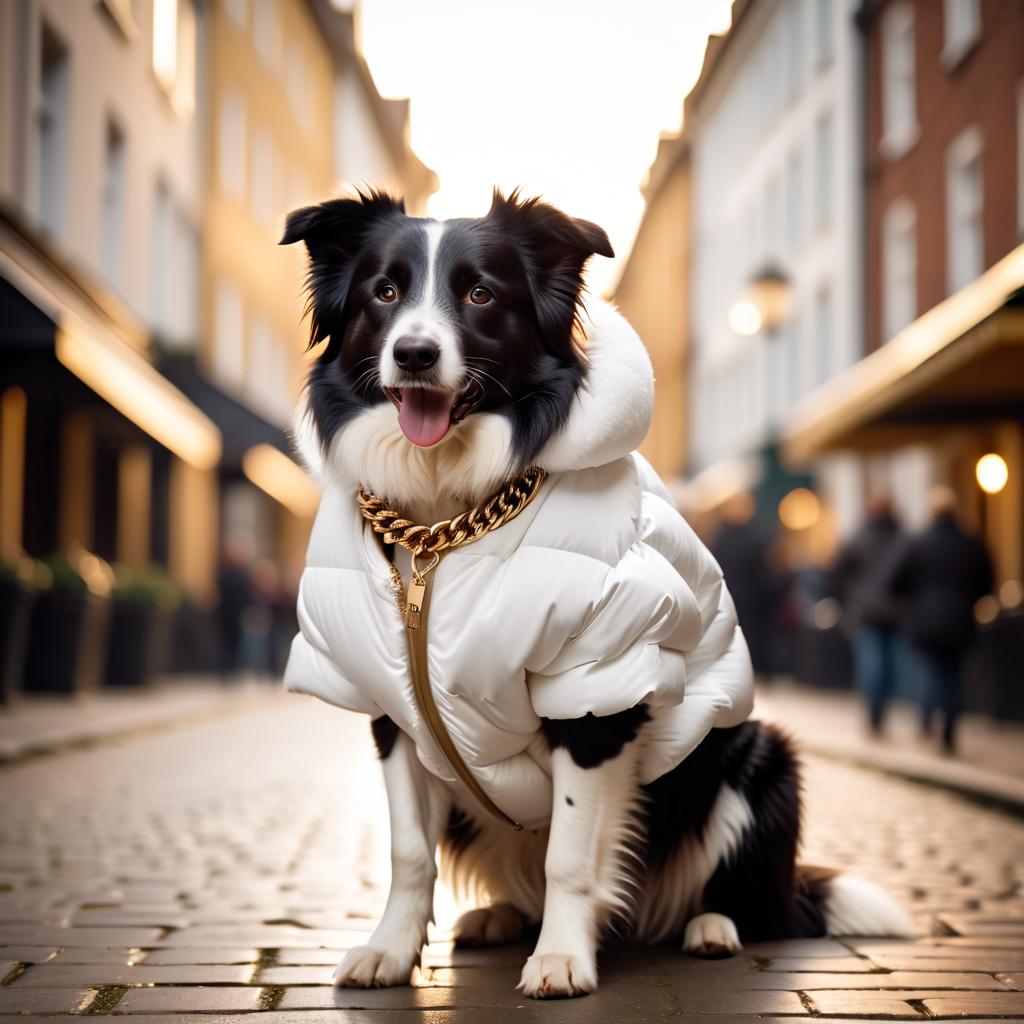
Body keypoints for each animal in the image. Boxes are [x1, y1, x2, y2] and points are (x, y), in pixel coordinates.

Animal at [280, 188, 913, 995]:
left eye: (480, 295)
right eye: (384, 293)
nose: (414, 353)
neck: (442, 530)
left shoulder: (595, 692)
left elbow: (571, 856)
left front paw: (561, 957)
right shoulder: (391, 706)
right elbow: (410, 852)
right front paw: (389, 950)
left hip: (760, 753)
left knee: (745, 895)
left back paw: (712, 927)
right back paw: (499, 917)